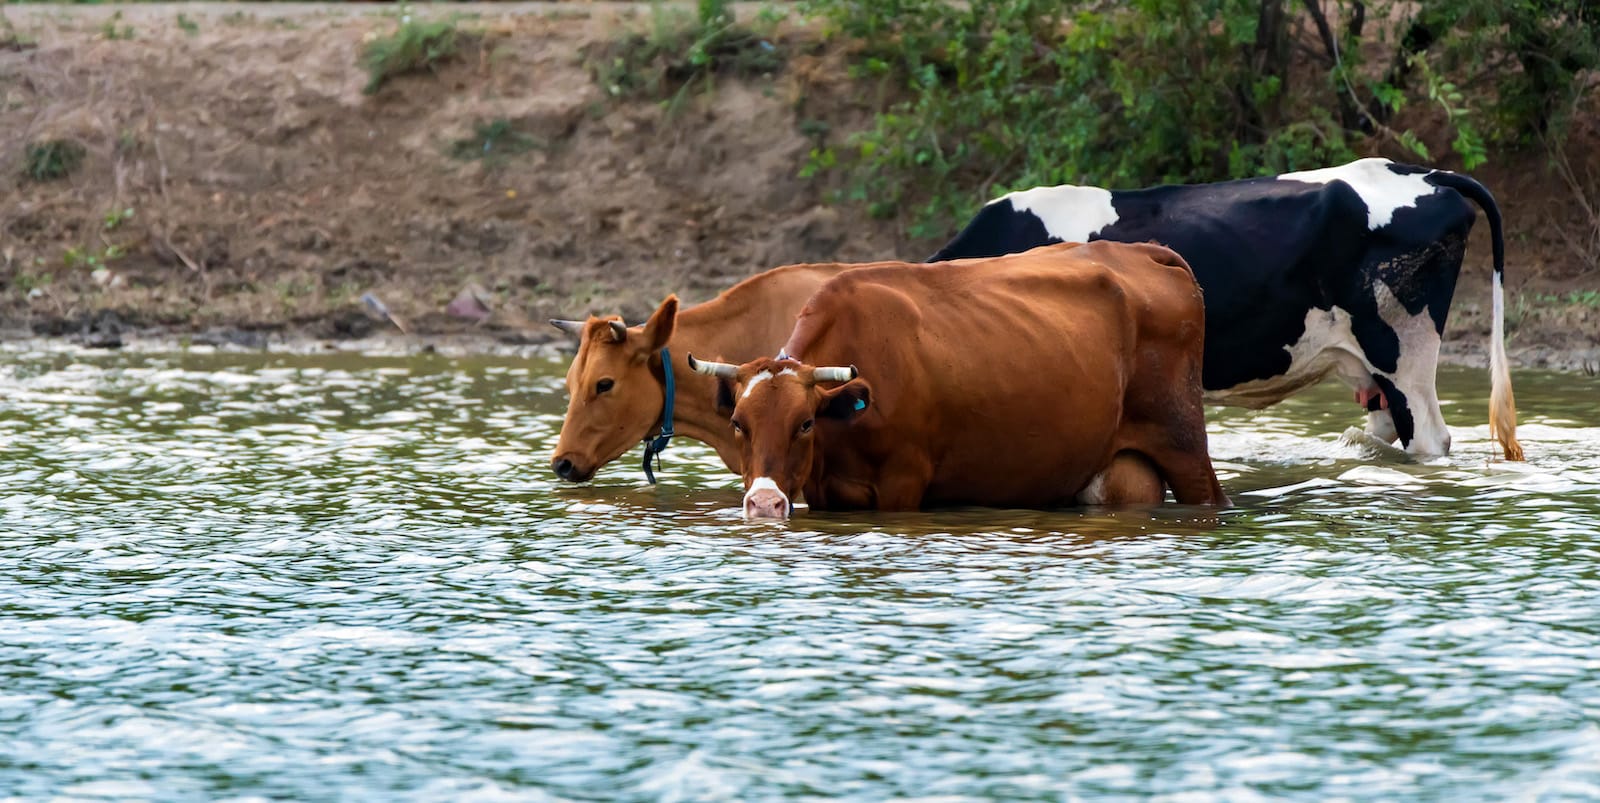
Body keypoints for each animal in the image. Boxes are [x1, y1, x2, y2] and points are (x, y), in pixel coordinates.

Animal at [686, 241, 1229, 519]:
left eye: (804, 424)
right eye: (738, 424)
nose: (763, 504)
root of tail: (1144, 251)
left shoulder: (902, 482)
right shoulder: (821, 489)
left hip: (1184, 444)